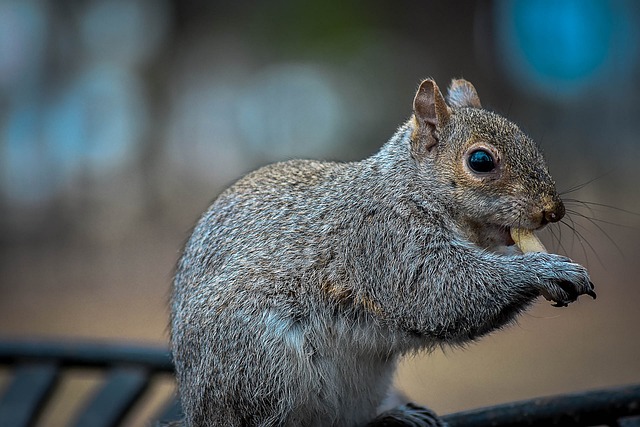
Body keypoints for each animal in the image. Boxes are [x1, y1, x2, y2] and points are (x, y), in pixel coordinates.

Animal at [169, 78, 596, 426]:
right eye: (480, 161)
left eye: (530, 143)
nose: (553, 210)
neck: (409, 186)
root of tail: (197, 412)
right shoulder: (385, 241)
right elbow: (442, 292)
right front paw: (546, 269)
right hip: (259, 364)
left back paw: (396, 415)